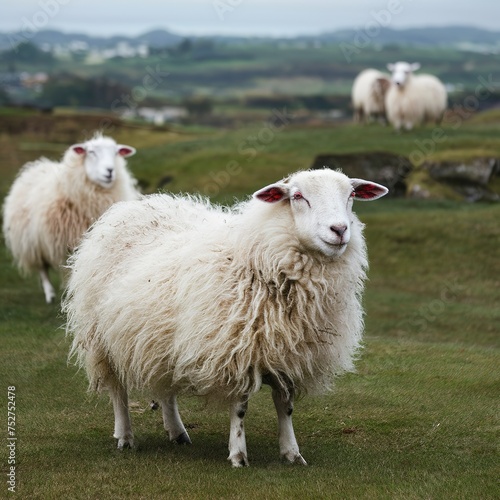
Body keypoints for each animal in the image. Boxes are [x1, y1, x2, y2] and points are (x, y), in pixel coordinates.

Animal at [2, 133, 139, 302]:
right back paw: (49, 294)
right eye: (91, 152)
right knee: (42, 269)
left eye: (116, 153)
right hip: (32, 242)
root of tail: (37, 166)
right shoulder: (64, 243)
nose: (110, 171)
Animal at [62, 169, 388, 468]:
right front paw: (238, 455)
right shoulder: (237, 351)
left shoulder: (287, 353)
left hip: (161, 338)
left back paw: (177, 432)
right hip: (101, 338)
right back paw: (125, 436)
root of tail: (132, 206)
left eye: (351, 195)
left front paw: (292, 453)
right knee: (118, 390)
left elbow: (286, 405)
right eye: (297, 196)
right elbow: (240, 407)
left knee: (166, 389)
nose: (339, 229)